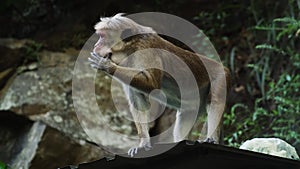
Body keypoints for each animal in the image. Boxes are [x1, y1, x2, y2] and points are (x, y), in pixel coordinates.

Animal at [88, 13, 231, 157]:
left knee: (215, 101)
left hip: (221, 77)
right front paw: (143, 144)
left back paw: (212, 139)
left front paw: (107, 66)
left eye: (102, 36)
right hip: (194, 105)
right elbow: (139, 102)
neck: (130, 47)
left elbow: (152, 82)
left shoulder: (146, 48)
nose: (95, 45)